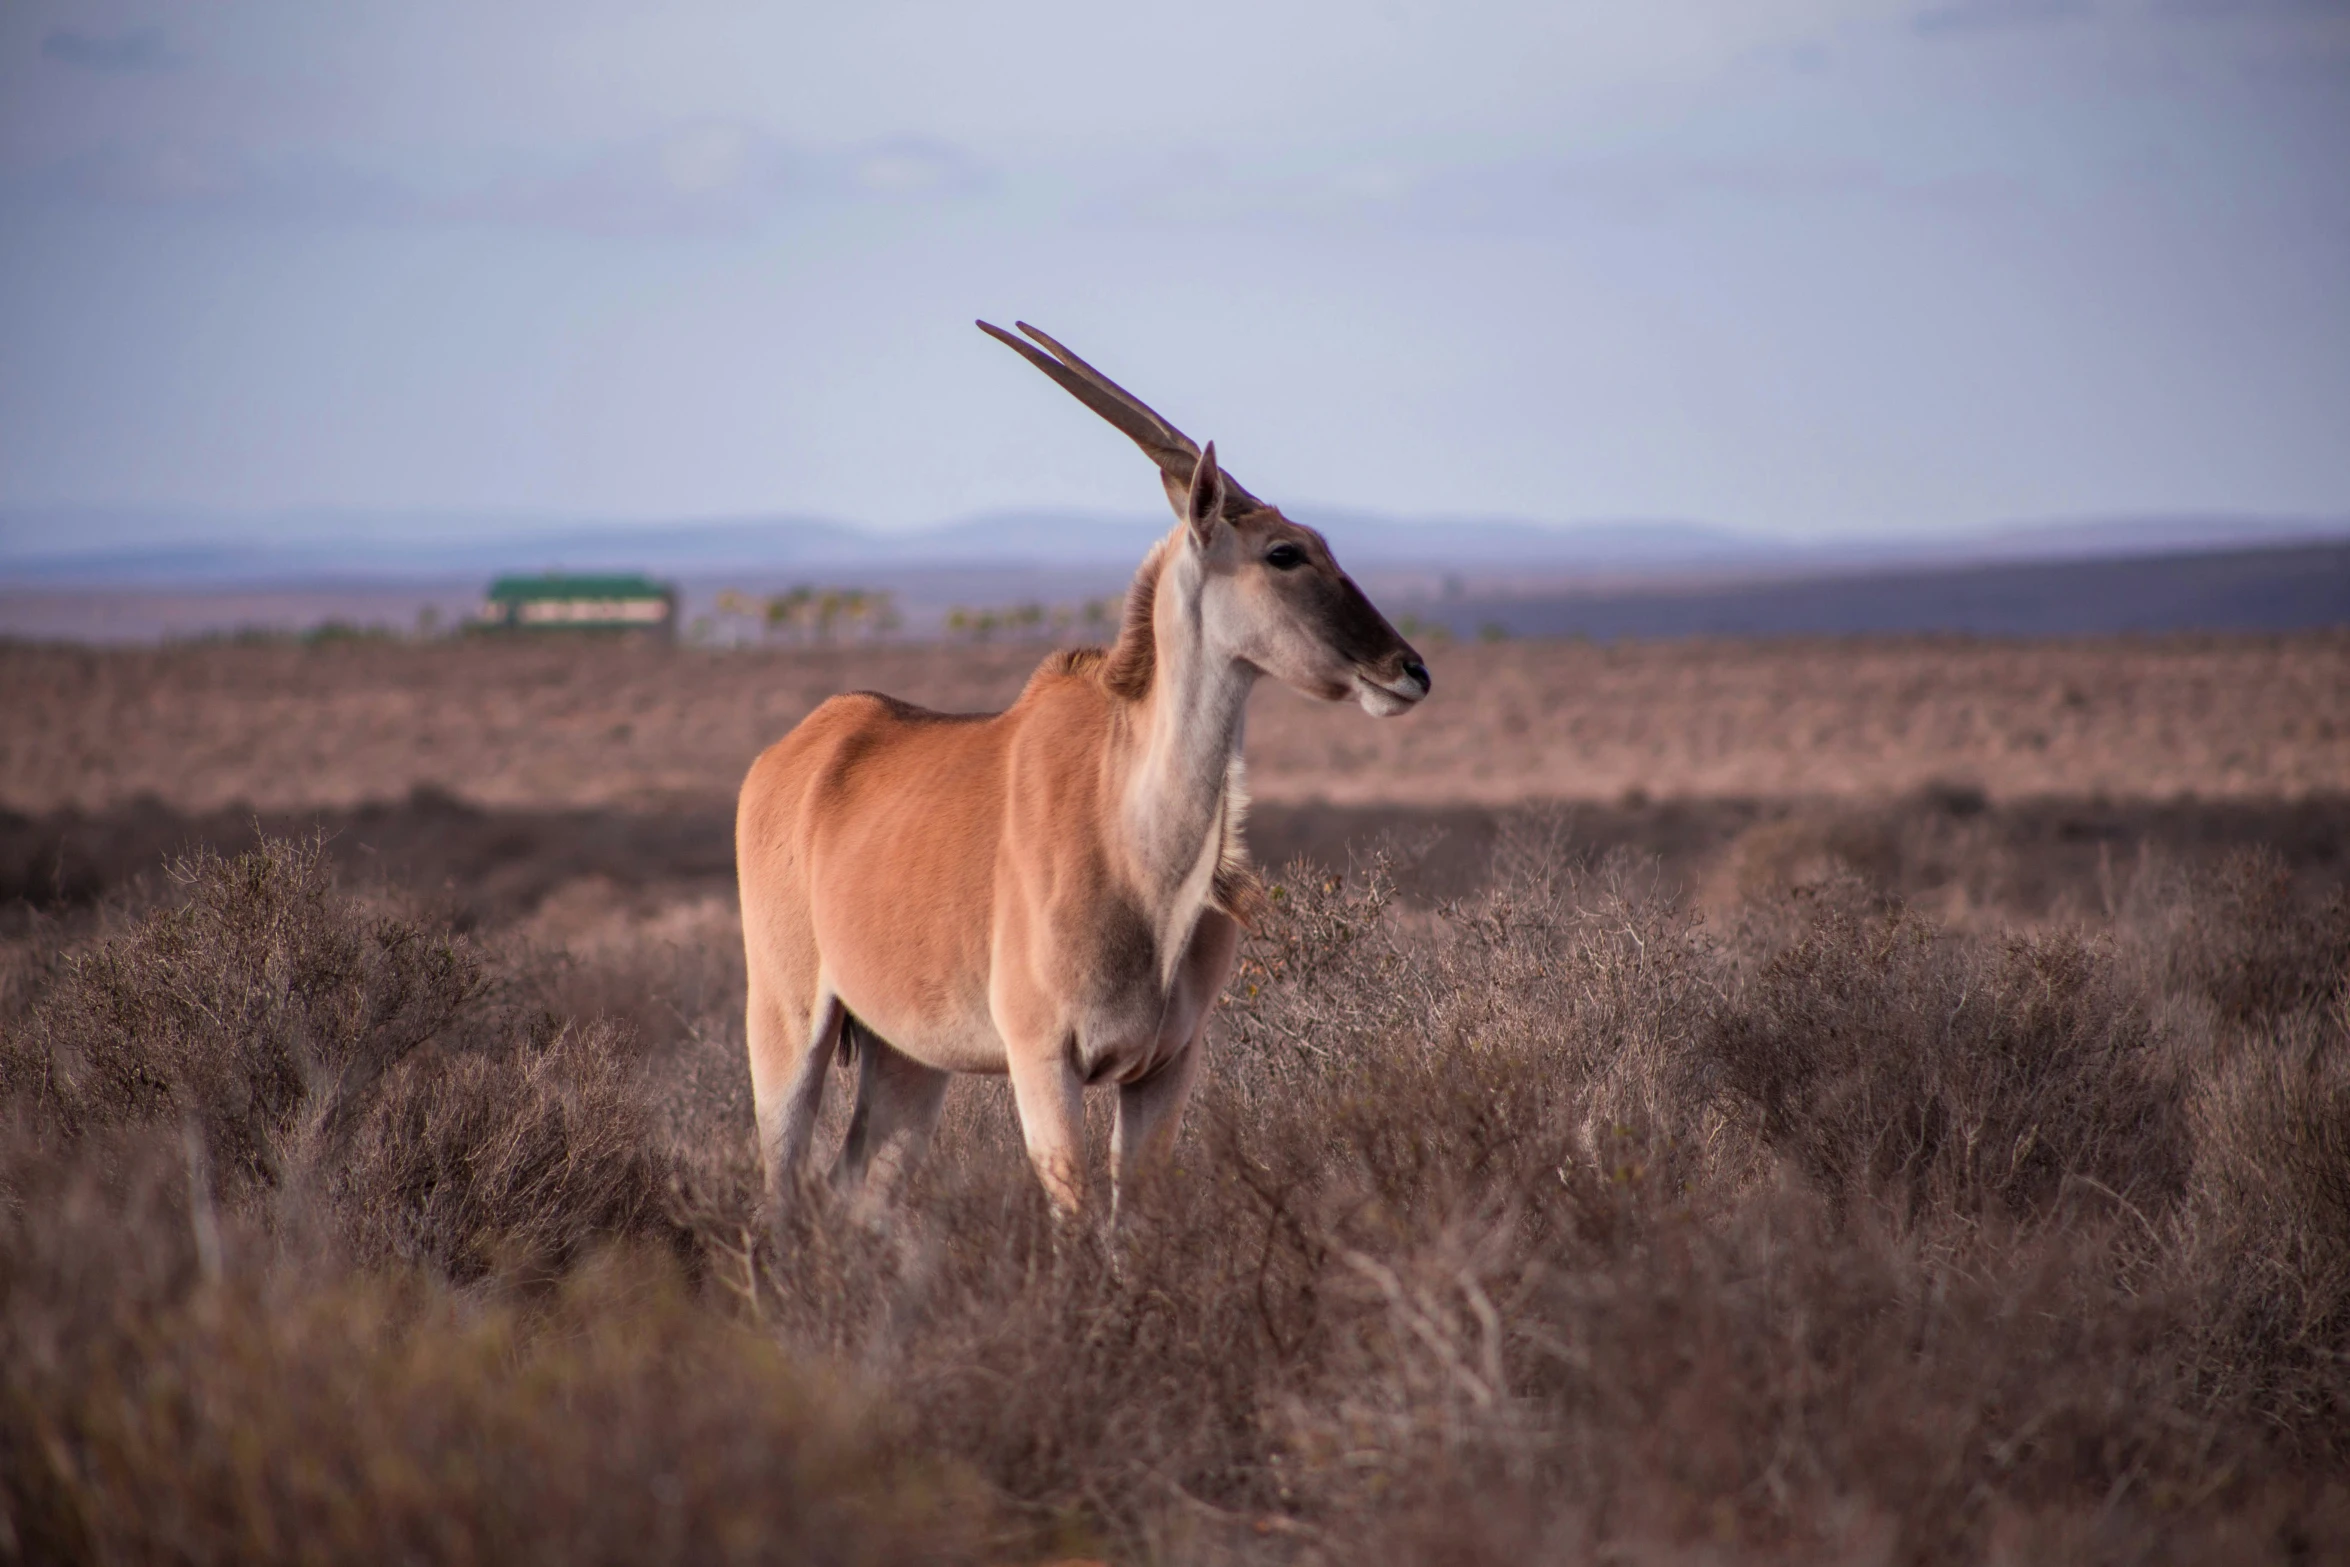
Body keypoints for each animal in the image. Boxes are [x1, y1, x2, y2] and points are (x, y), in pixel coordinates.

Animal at [737, 324, 1428, 1221]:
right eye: (1285, 553)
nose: (1408, 669)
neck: (1137, 845)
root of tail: (797, 752)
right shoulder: (1043, 1062)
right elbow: (1076, 1218)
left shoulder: (1166, 1067)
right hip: (788, 1021)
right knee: (782, 1188)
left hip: (907, 1057)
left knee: (857, 1188)